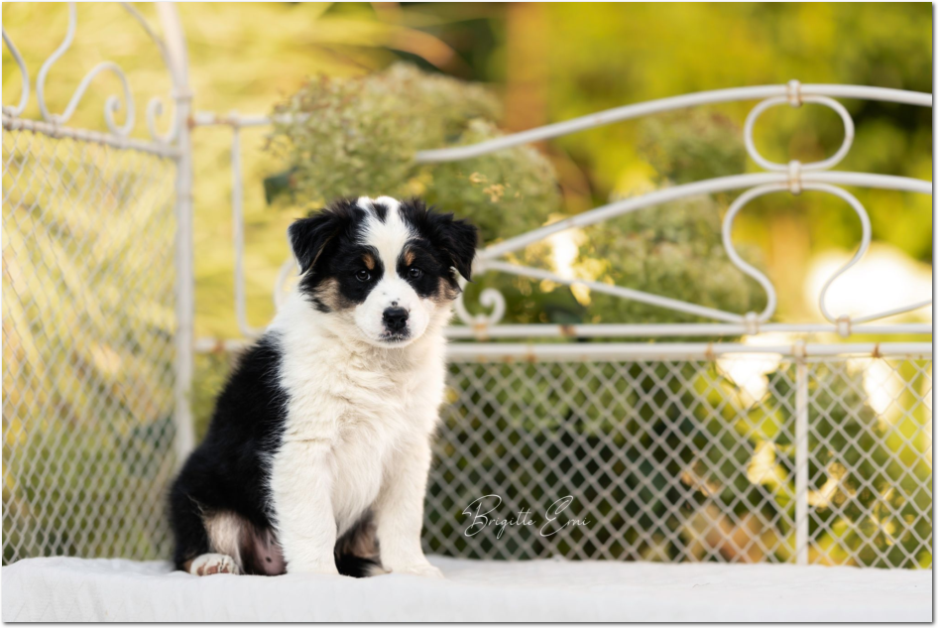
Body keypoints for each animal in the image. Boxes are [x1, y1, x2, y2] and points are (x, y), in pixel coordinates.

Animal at [169, 196, 477, 578]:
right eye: (362, 274)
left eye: (416, 272)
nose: (396, 317)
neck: (374, 360)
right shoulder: (303, 445)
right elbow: (315, 521)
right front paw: (320, 577)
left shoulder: (408, 447)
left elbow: (403, 517)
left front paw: (411, 569)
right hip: (199, 486)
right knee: (190, 544)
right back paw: (213, 562)